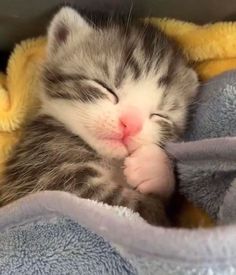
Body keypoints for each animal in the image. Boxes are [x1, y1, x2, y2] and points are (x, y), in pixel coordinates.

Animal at [0, 7, 198, 226]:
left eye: (159, 115)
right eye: (105, 88)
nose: (130, 125)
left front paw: (153, 167)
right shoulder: (46, 170)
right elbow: (117, 205)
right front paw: (154, 212)